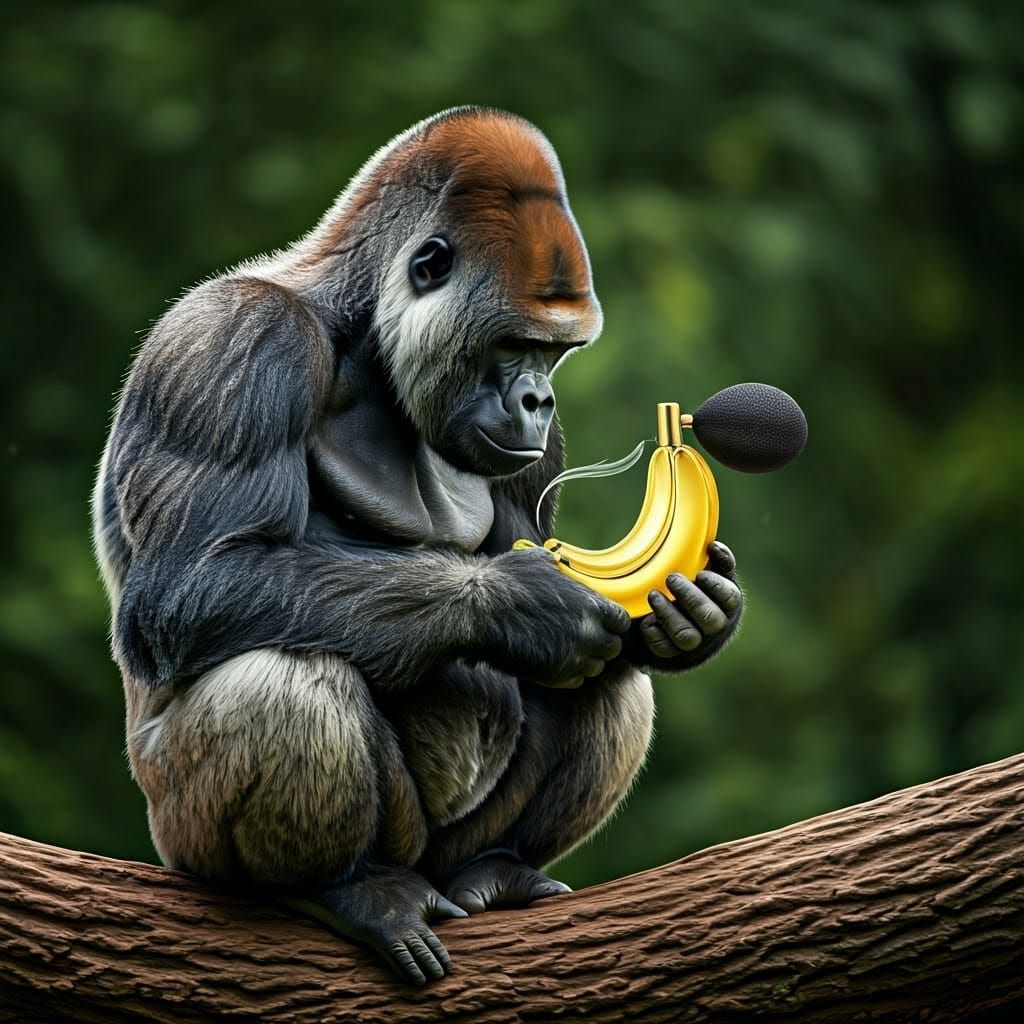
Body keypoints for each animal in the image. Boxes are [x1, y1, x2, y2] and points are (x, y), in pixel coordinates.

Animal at [92, 107, 743, 985]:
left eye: (555, 354)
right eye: (516, 344)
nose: (539, 399)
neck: (359, 327)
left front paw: (694, 621)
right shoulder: (235, 342)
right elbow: (192, 584)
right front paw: (524, 606)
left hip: (448, 853)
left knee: (611, 682)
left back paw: (498, 867)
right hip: (182, 838)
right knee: (282, 681)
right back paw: (336, 886)